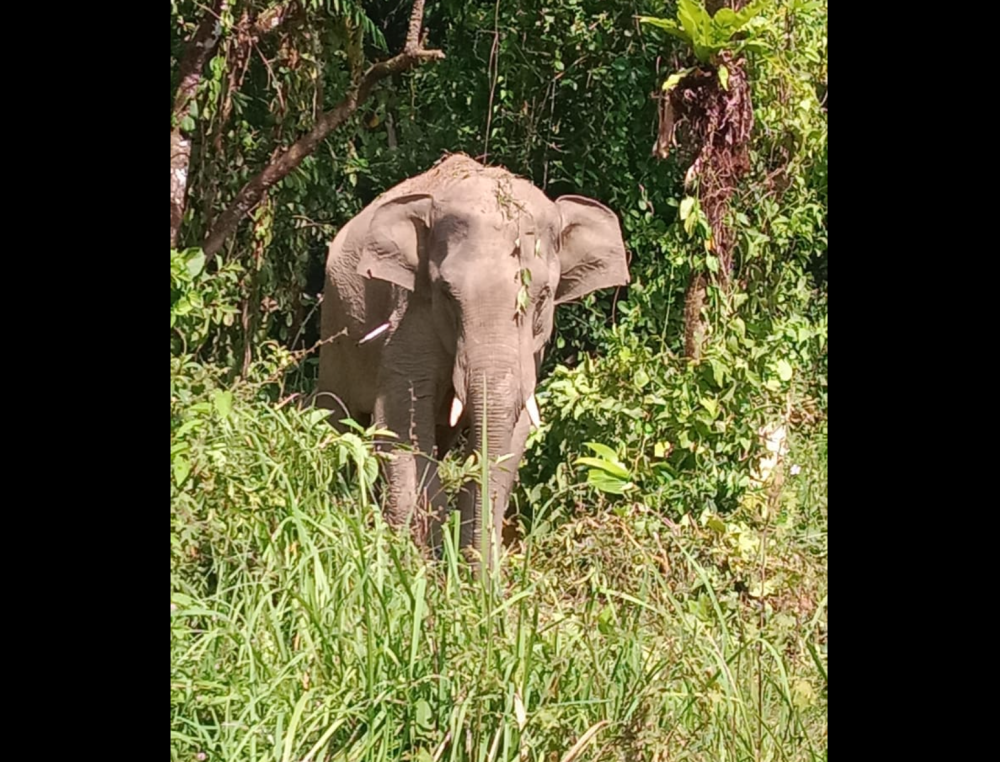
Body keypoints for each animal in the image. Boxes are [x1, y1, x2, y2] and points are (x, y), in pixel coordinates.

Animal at [314, 153, 624, 568]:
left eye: (543, 296)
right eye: (447, 293)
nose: (473, 573)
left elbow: (515, 430)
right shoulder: (411, 309)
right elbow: (400, 416)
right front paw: (419, 567)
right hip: (334, 328)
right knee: (334, 411)